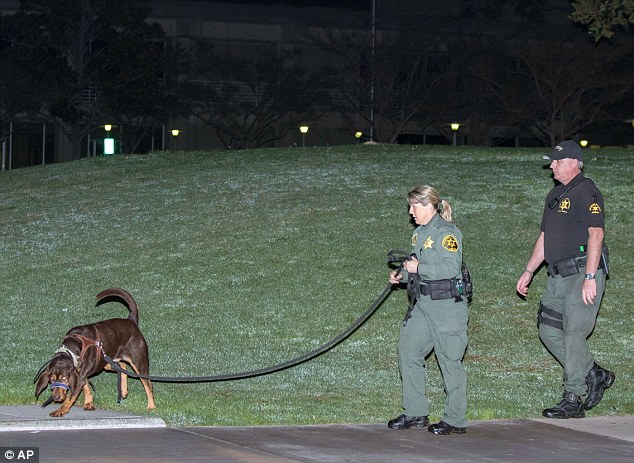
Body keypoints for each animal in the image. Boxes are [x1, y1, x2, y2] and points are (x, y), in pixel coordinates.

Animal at [35, 288, 155, 418]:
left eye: (64, 378)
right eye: (51, 379)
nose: (56, 397)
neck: (71, 350)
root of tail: (131, 320)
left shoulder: (79, 377)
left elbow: (71, 397)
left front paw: (61, 410)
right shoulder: (80, 375)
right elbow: (86, 386)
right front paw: (89, 403)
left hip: (138, 362)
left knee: (148, 383)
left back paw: (151, 406)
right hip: (107, 363)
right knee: (122, 366)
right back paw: (123, 390)